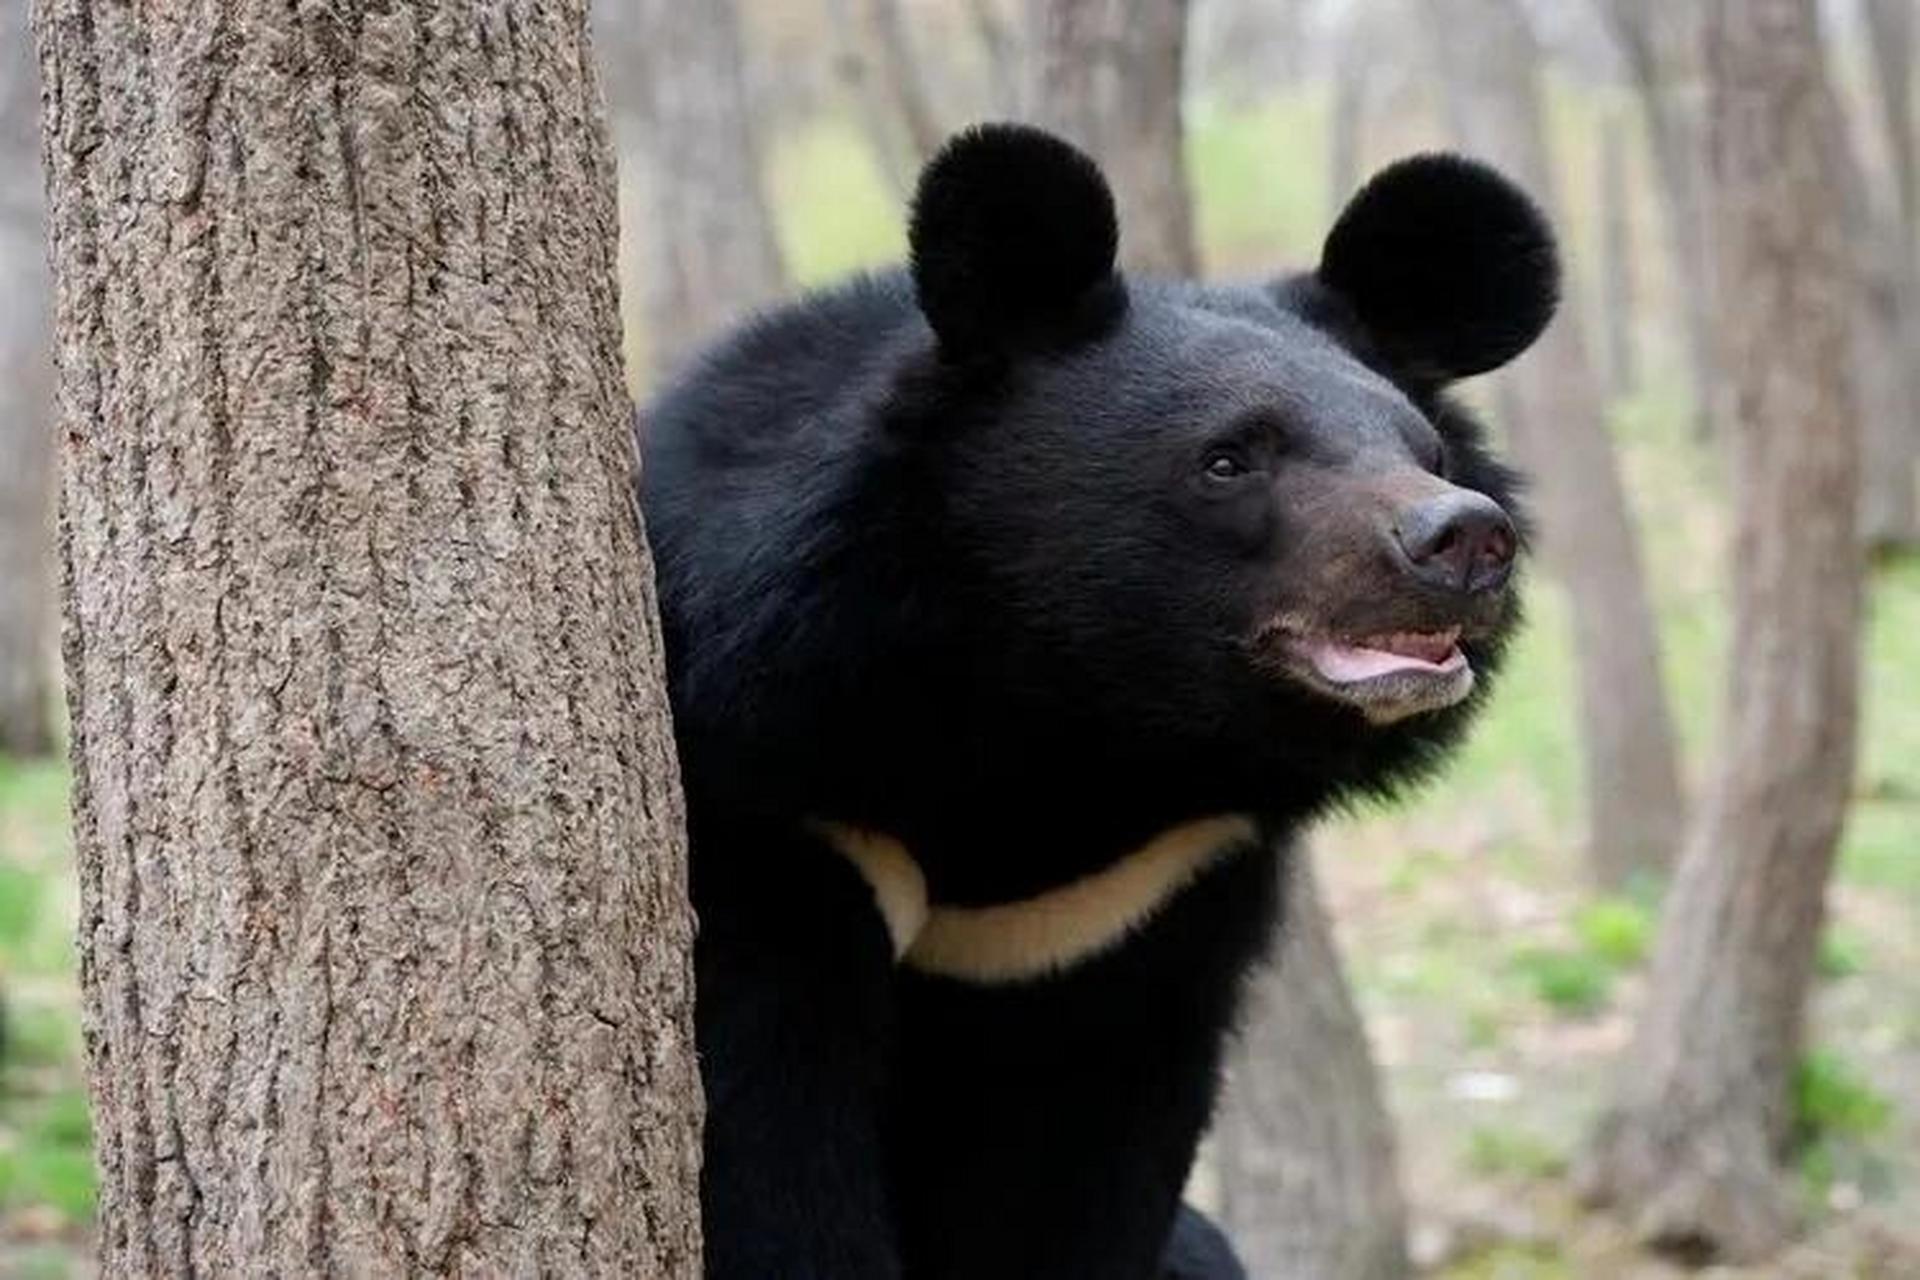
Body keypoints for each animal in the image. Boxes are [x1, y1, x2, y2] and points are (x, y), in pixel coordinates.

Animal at [637, 122, 1556, 1279]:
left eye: (1422, 450)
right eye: (1228, 459)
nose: (1462, 539)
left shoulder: (1129, 907)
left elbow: (1074, 1165)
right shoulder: (785, 818)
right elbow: (765, 1141)